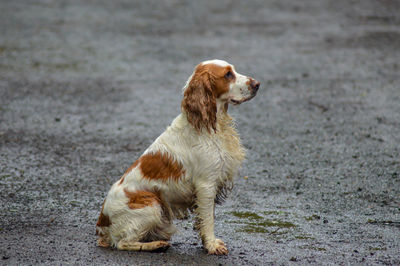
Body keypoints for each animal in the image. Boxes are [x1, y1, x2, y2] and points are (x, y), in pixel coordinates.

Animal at [95, 59, 260, 255]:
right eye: (228, 74)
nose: (257, 84)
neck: (209, 125)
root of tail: (102, 222)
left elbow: (204, 218)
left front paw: (206, 242)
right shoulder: (206, 184)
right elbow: (208, 219)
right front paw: (212, 245)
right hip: (152, 205)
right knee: (123, 243)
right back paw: (156, 245)